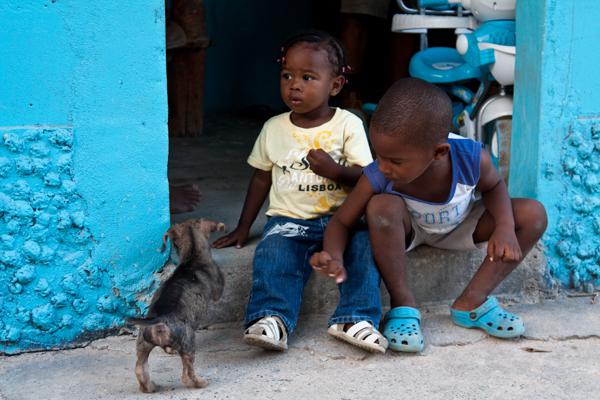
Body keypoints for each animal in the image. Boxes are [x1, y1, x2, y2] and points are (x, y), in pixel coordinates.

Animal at [131, 217, 225, 392]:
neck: (192, 256)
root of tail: (159, 320)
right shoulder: (218, 288)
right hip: (188, 343)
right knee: (187, 373)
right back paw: (200, 383)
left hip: (143, 344)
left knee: (140, 368)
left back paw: (149, 387)